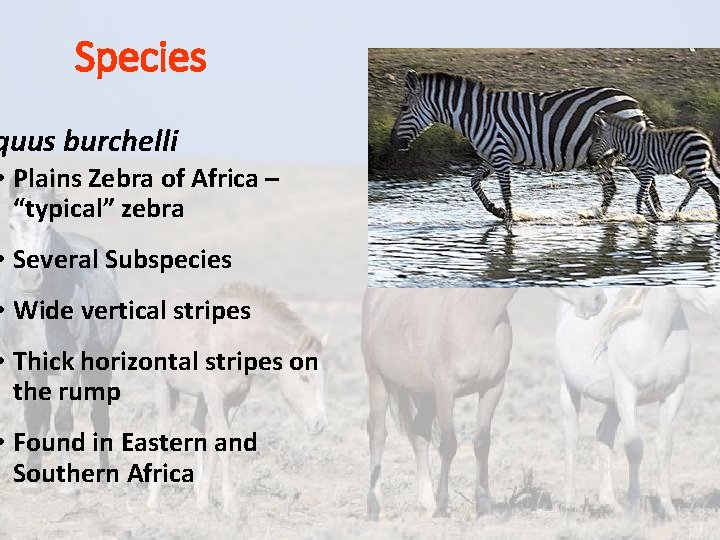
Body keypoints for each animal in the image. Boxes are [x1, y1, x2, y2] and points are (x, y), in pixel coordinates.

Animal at [390, 70, 663, 230]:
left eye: (404, 108)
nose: (393, 142)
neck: (476, 116)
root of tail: (632, 100)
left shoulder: (500, 155)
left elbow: (507, 192)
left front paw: (510, 223)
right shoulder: (491, 156)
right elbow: (474, 183)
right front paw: (497, 212)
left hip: (625, 151)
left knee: (646, 182)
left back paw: (656, 216)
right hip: (603, 156)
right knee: (614, 187)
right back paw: (603, 217)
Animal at [589, 113, 720, 220]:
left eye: (597, 140)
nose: (589, 161)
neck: (633, 145)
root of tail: (706, 138)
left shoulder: (647, 171)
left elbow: (640, 196)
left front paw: (639, 218)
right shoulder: (643, 173)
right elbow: (645, 196)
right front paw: (653, 216)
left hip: (695, 166)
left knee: (713, 189)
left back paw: (717, 216)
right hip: (687, 169)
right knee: (695, 185)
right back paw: (677, 213)